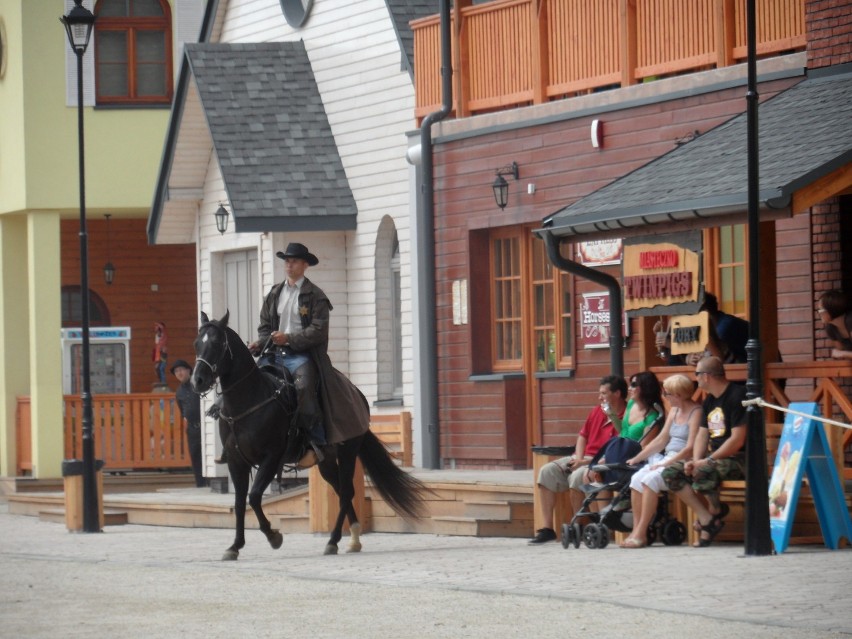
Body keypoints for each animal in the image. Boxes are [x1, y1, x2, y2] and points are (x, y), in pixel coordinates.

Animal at [192, 312, 426, 556]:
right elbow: (239, 504)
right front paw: (235, 546)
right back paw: (353, 538)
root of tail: (358, 394)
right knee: (342, 490)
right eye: (197, 343)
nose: (197, 380)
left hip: (348, 452)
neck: (249, 402)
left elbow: (254, 497)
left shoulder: (271, 458)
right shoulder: (236, 461)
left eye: (217, 343)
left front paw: (274, 536)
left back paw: (333, 540)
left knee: (346, 492)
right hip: (326, 462)